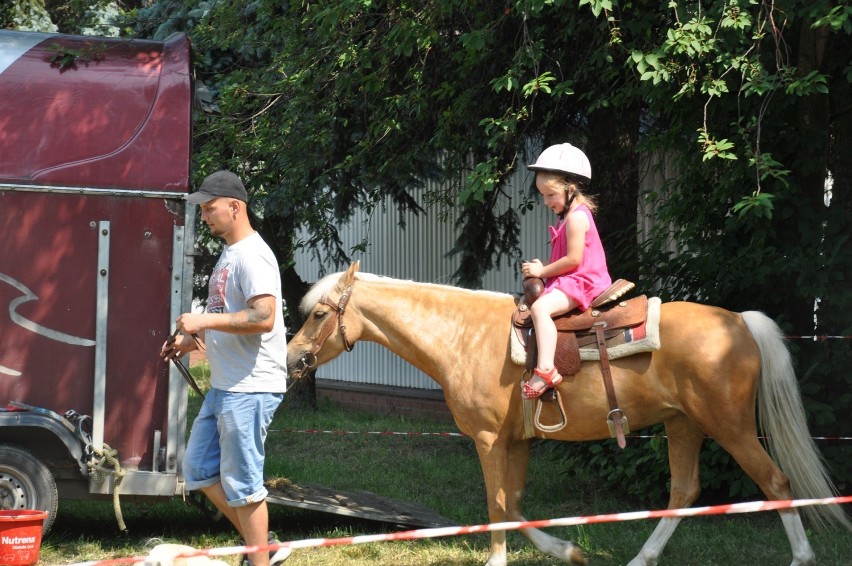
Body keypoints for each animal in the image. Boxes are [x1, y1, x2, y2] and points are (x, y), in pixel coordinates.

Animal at [290, 264, 848, 564]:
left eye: (317, 314)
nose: (294, 359)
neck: (462, 336)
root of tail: (739, 321)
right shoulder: (516, 443)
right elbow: (514, 506)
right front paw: (568, 550)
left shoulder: (489, 440)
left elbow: (497, 506)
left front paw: (500, 558)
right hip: (683, 425)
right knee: (685, 492)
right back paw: (643, 556)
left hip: (729, 427)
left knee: (775, 482)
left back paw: (802, 556)